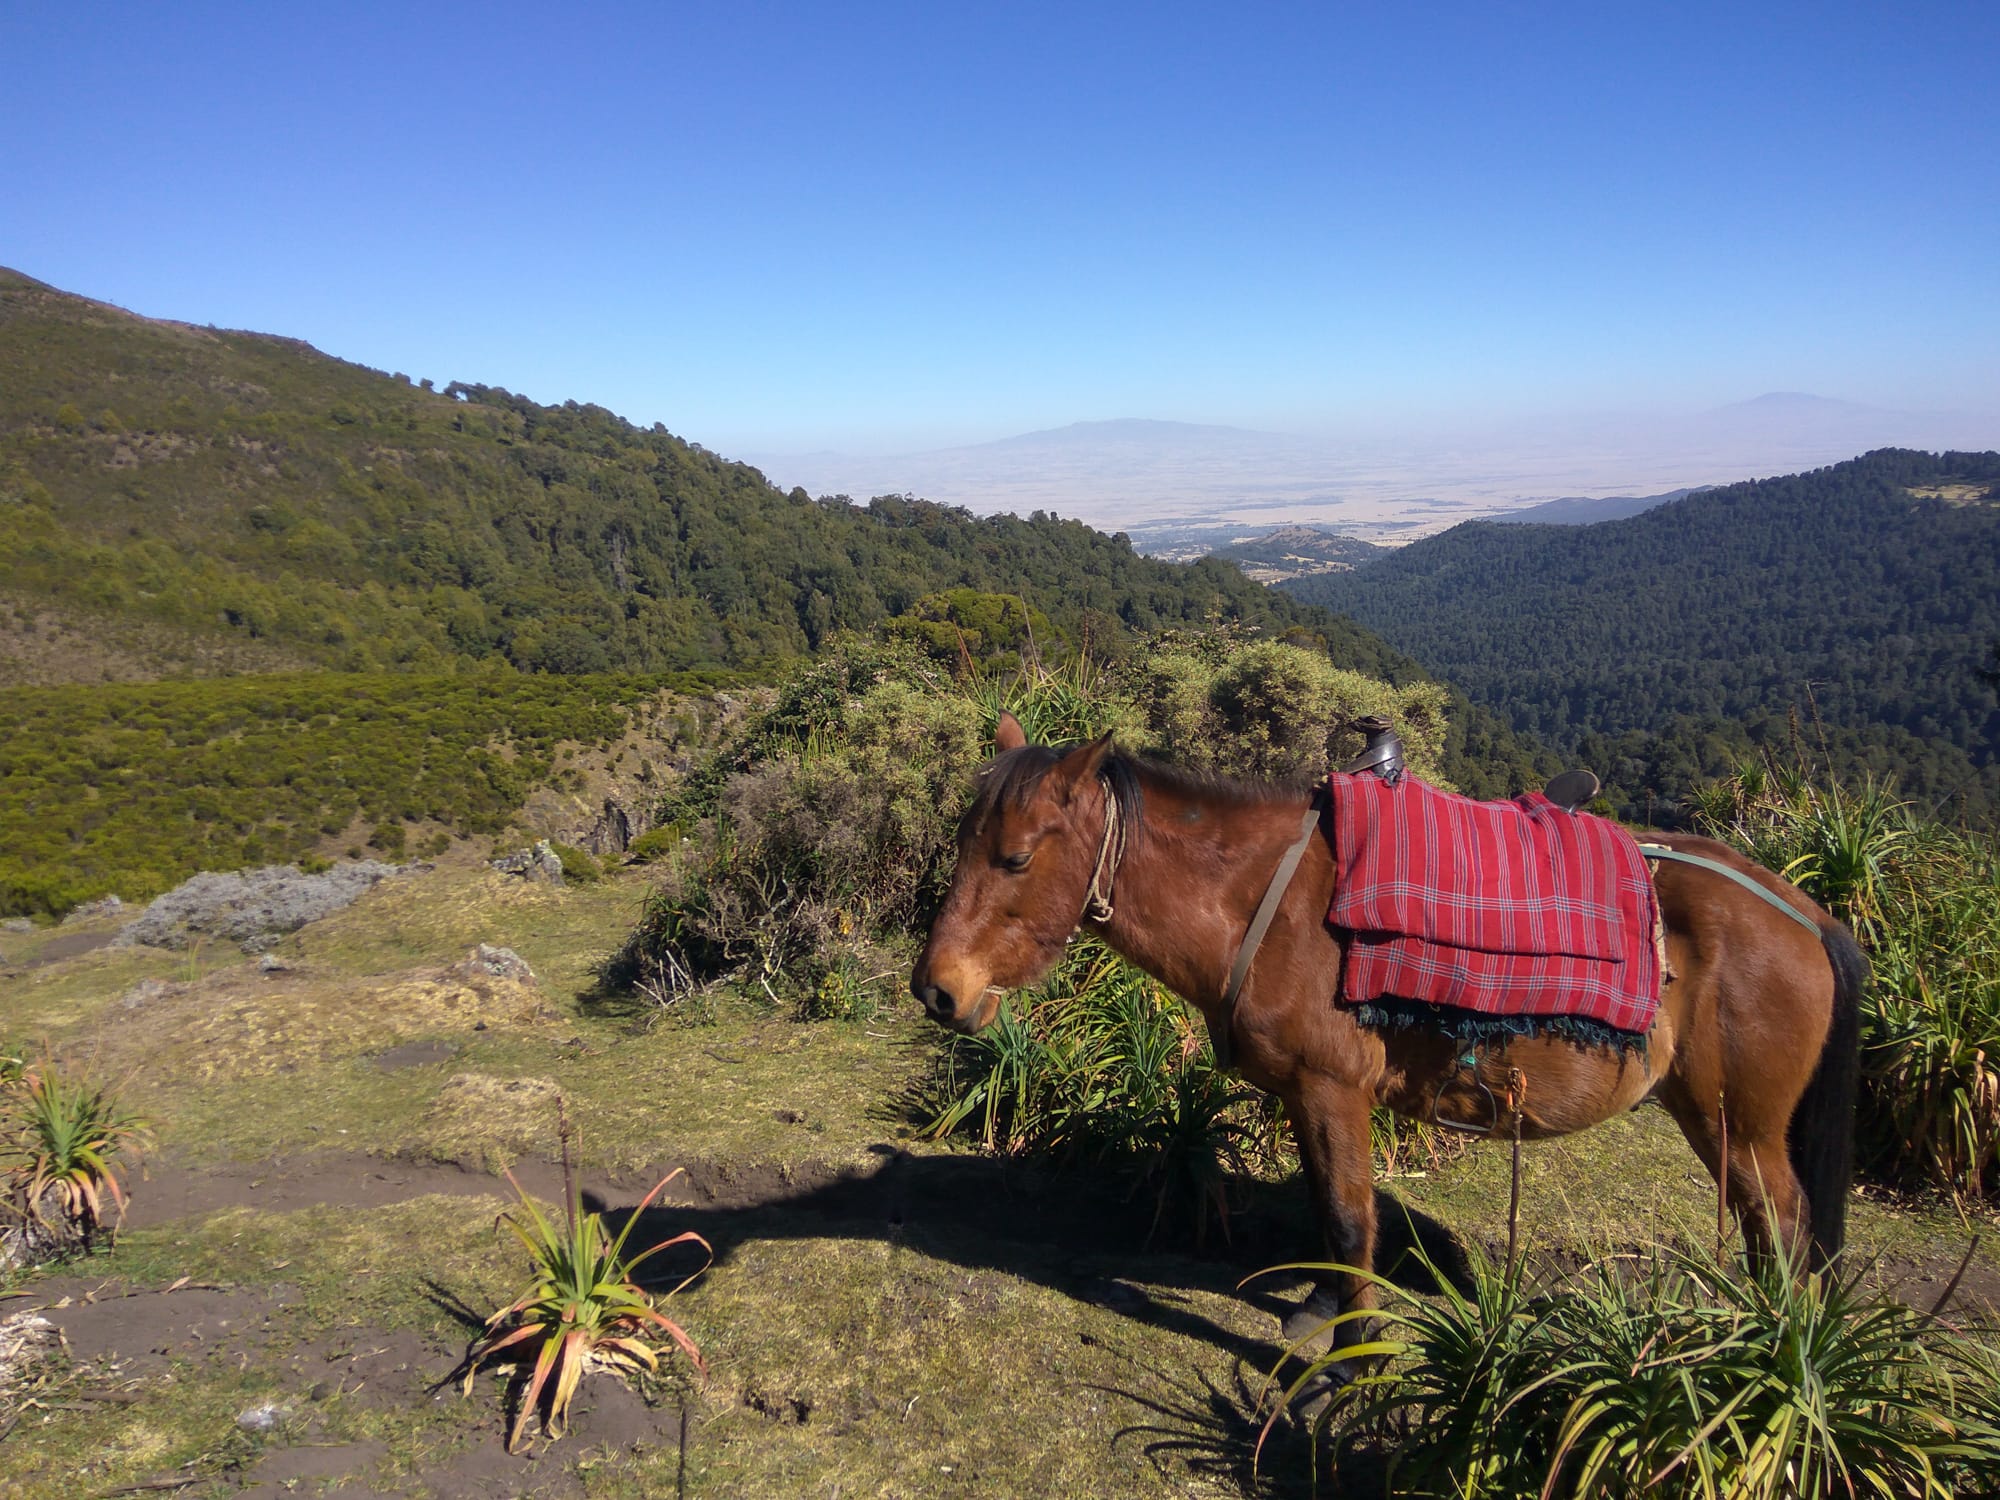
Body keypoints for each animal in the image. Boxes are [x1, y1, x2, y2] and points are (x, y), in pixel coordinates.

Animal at [916, 724, 1864, 1368]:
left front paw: (1356, 1354)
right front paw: (1325, 1308)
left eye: (1013, 859)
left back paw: (1769, 1345)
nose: (937, 988)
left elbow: (1346, 1215)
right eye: (962, 842)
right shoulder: (1305, 1094)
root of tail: (1805, 914)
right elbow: (1331, 1206)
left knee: (1780, 1223)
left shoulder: (1332, 1086)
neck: (1268, 904)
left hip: (1735, 1121)